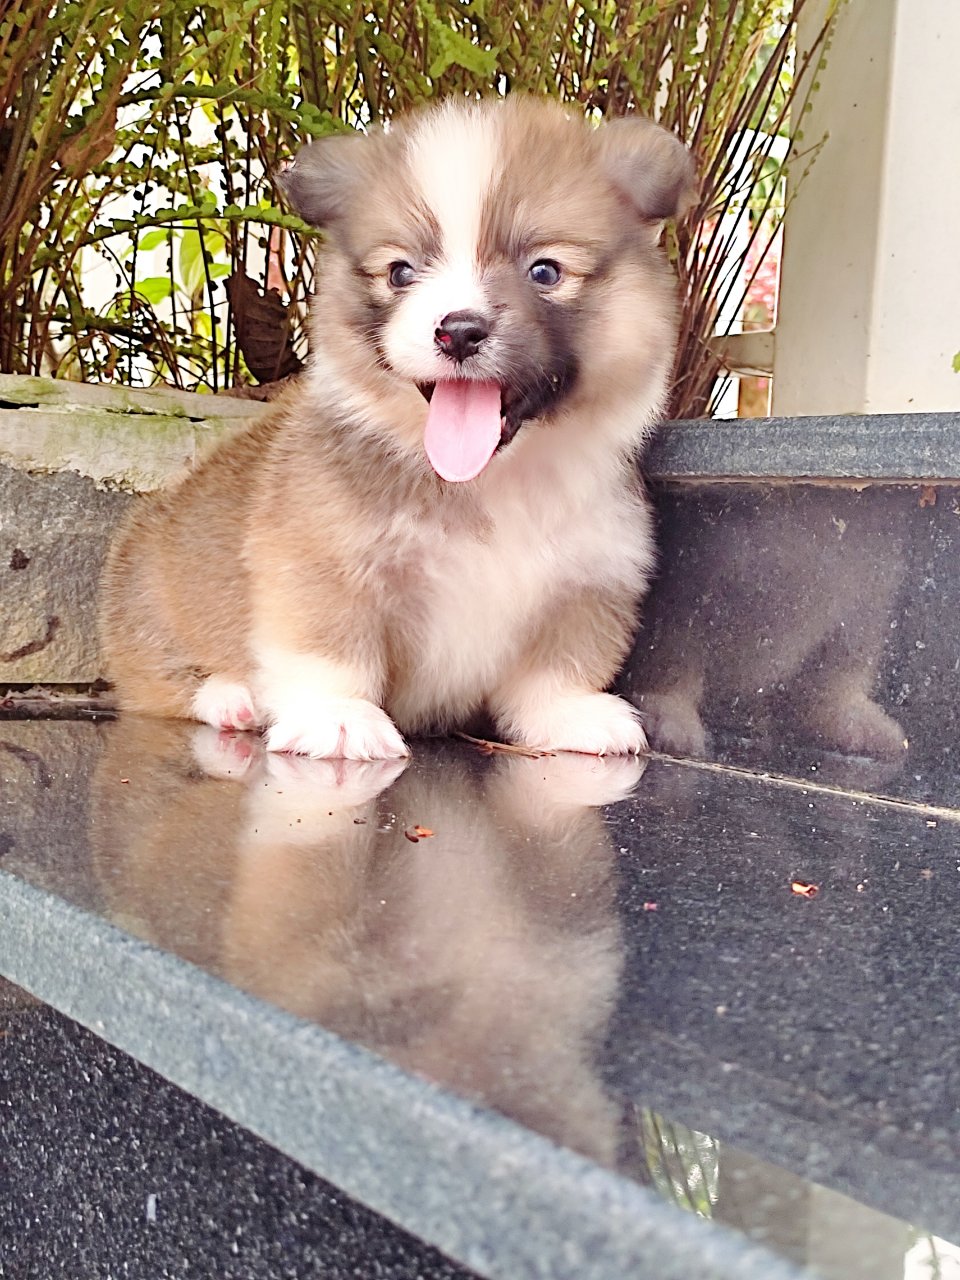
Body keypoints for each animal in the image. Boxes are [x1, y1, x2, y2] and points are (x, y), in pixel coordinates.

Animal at [100, 96, 695, 760]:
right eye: (400, 273)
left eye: (545, 272)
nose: (457, 330)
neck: (490, 483)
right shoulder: (323, 563)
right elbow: (331, 652)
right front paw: (337, 717)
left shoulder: (588, 580)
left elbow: (555, 670)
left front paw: (570, 714)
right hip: (147, 598)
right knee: (162, 677)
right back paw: (232, 698)